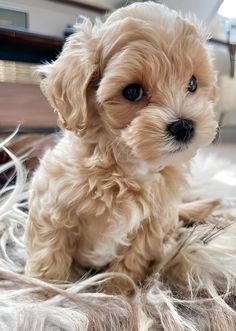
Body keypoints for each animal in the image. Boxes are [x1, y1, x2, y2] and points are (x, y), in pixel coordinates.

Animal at [24, 2, 218, 294]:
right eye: (132, 92)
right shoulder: (52, 206)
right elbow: (49, 253)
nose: (184, 126)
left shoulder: (152, 225)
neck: (125, 168)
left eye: (192, 84)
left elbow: (130, 262)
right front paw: (44, 294)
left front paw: (115, 293)